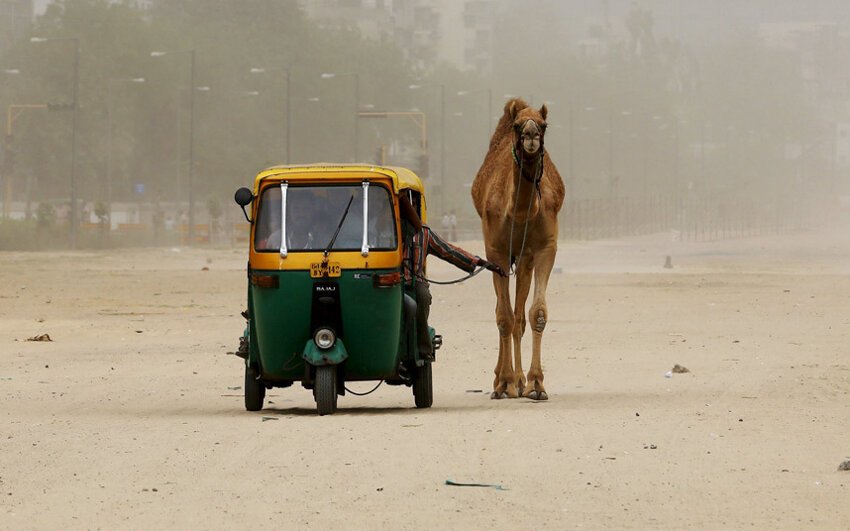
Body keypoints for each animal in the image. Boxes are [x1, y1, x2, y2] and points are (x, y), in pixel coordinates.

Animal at [470, 98, 564, 400]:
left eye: (544, 125)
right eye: (516, 125)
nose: (531, 134)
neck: (520, 214)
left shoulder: (544, 248)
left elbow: (536, 313)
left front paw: (535, 383)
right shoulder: (495, 251)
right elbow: (503, 316)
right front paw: (504, 383)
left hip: (524, 258)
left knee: (519, 315)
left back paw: (520, 381)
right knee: (505, 312)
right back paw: (502, 380)